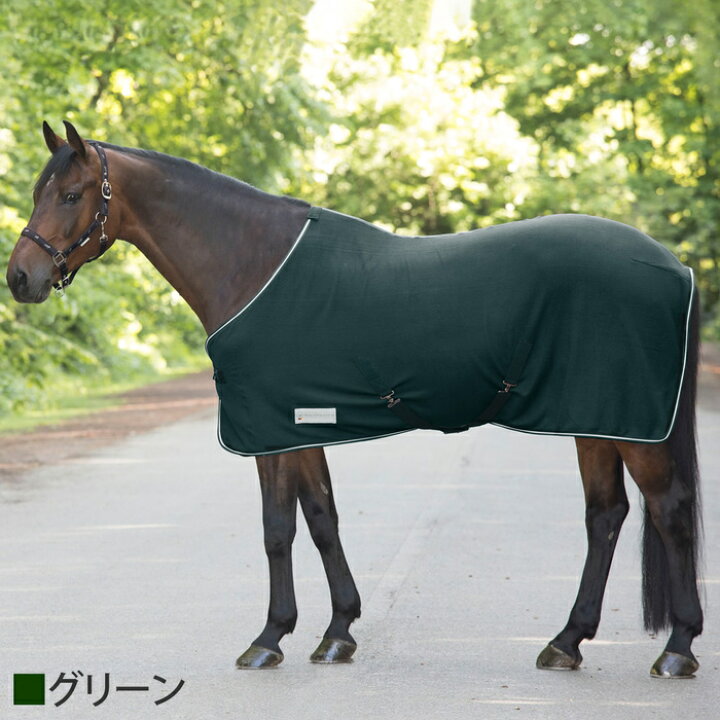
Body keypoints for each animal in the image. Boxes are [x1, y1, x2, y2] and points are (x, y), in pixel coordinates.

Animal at [6, 121, 703, 678]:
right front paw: (337, 632)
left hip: (628, 427)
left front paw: (268, 639)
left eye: (70, 195)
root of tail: (675, 265)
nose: (20, 277)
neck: (253, 263)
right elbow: (321, 519)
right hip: (597, 421)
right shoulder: (303, 426)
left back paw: (677, 649)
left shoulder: (270, 429)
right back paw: (567, 642)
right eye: (39, 192)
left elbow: (278, 530)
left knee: (667, 510)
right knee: (606, 516)